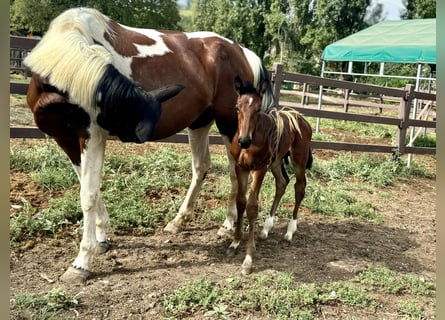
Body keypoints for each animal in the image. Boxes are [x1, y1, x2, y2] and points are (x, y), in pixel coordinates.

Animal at [25, 6, 274, 282]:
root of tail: (242, 51)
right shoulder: (66, 139)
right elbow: (90, 188)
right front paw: (101, 239)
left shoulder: (92, 135)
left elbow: (88, 195)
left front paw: (81, 263)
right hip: (200, 122)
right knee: (201, 166)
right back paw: (179, 221)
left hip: (230, 126)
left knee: (233, 172)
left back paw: (227, 226)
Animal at [229, 77, 312, 276]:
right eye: (237, 108)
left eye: (258, 109)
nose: (244, 141)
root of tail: (300, 118)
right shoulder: (240, 167)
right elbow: (240, 202)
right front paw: (235, 242)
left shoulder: (259, 169)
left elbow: (252, 207)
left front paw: (248, 259)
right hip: (276, 161)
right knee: (282, 183)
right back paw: (266, 228)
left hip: (299, 160)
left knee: (299, 188)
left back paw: (290, 231)